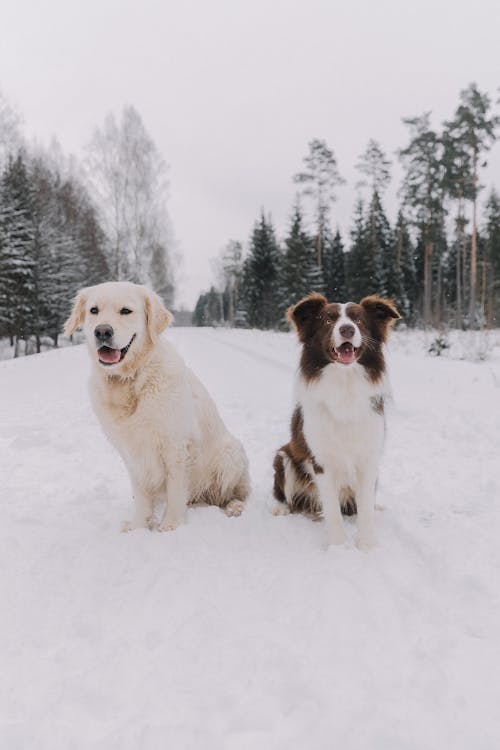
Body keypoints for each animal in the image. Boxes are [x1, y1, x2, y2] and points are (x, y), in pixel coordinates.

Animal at [65, 282, 252, 536]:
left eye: (126, 311)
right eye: (94, 310)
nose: (102, 332)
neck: (131, 380)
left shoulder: (176, 445)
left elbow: (175, 490)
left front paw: (171, 525)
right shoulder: (131, 452)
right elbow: (142, 495)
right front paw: (138, 526)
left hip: (230, 453)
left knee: (234, 494)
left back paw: (234, 507)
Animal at [274, 296, 398, 552]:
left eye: (358, 320)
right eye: (327, 320)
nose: (347, 329)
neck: (345, 382)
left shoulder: (369, 457)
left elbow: (365, 507)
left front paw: (366, 544)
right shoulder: (321, 460)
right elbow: (331, 508)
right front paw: (338, 545)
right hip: (283, 457)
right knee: (284, 493)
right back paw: (281, 508)